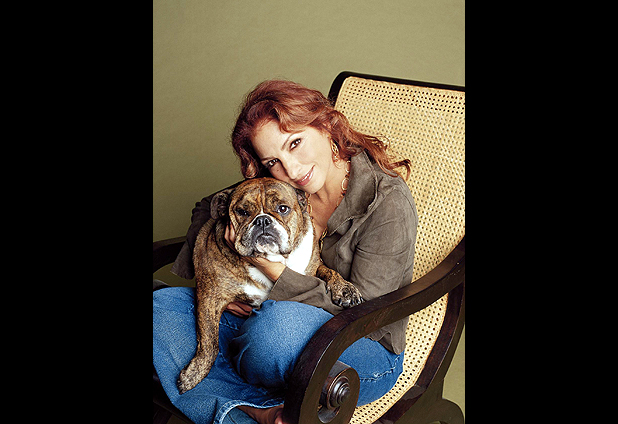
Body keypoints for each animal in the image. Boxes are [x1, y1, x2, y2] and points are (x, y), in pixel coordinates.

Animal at [177, 177, 364, 394]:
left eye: (283, 208)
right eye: (242, 211)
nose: (262, 220)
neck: (272, 260)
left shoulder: (314, 265)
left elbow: (329, 271)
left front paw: (345, 289)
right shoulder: (209, 297)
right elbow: (209, 342)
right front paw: (193, 374)